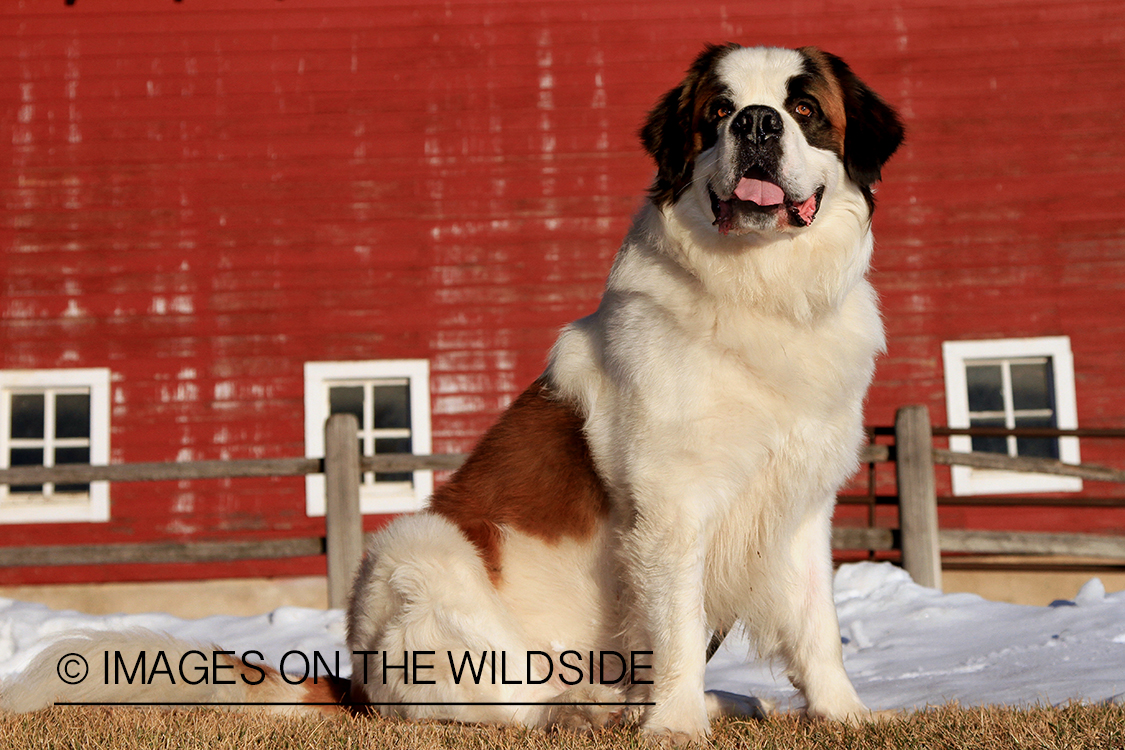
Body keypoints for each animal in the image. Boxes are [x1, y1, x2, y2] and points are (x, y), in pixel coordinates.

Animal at [0, 44, 900, 742]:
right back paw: (597, 713)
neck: (757, 291)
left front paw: (845, 714)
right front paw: (674, 724)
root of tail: (357, 677)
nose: (756, 124)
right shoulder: (671, 506)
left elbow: (816, 623)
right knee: (506, 705)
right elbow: (675, 624)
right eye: (717, 113)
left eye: (804, 110)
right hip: (417, 552)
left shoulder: (799, 499)